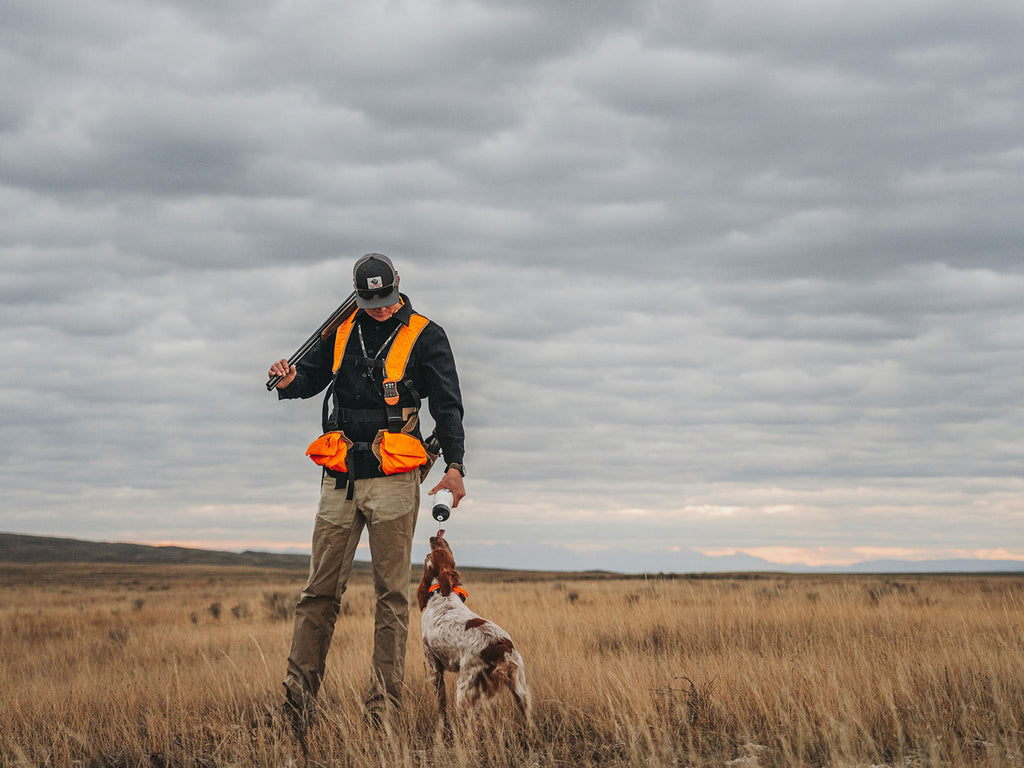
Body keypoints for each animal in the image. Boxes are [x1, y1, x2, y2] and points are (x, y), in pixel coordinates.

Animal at [415, 528, 532, 729]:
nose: (434, 537)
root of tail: (502, 646)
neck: (442, 594)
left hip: (465, 688)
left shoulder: (434, 666)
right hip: (519, 687)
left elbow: (441, 707)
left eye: (429, 555)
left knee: (471, 727)